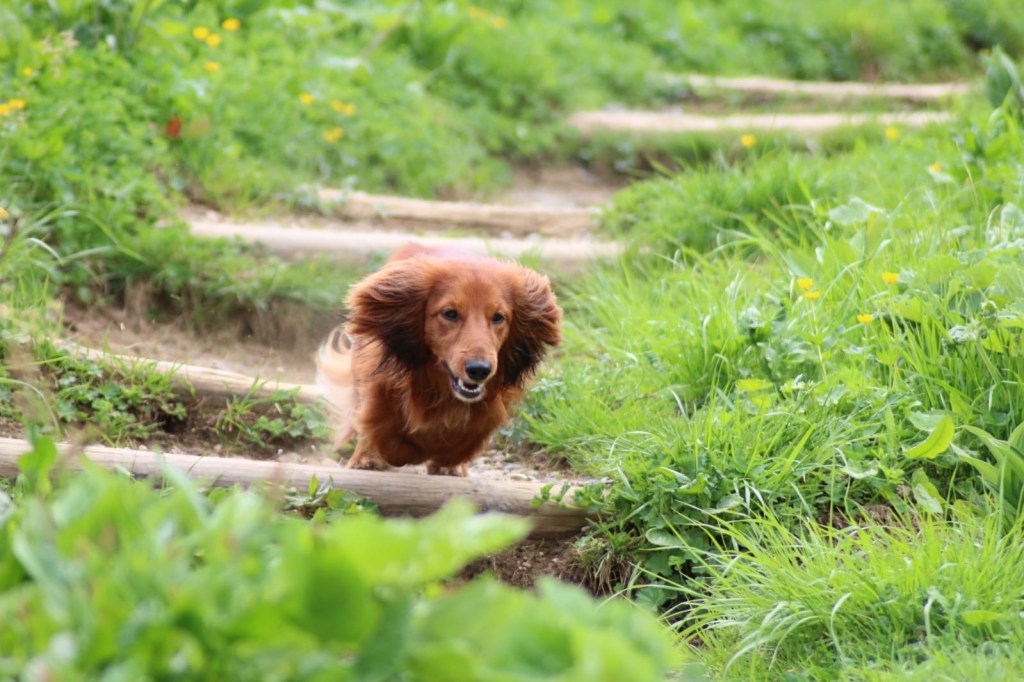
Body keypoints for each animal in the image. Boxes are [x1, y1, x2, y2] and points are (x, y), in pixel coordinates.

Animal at [316, 243, 562, 476]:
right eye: (450, 313)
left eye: (498, 317)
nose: (479, 369)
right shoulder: (381, 383)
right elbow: (380, 427)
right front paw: (378, 454)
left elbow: (466, 437)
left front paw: (447, 460)